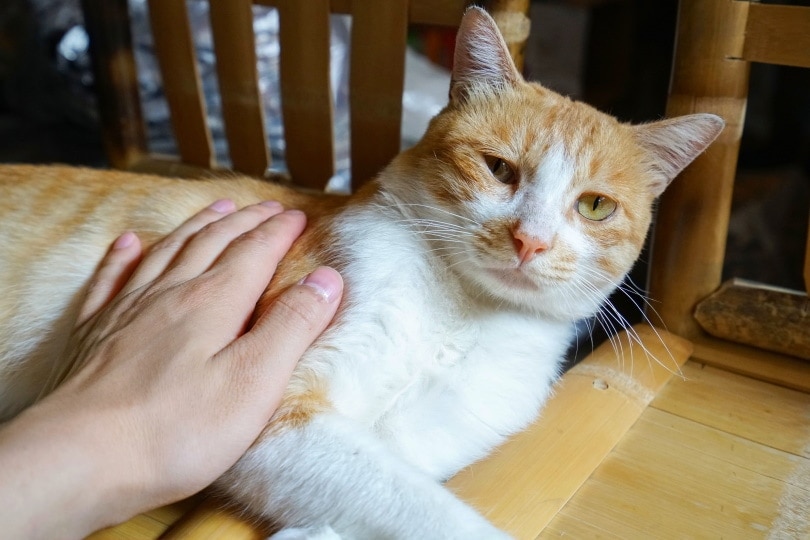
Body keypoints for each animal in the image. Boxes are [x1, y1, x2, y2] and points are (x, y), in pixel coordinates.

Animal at [0, 8, 720, 540]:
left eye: (595, 206)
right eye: (498, 169)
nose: (531, 240)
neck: (463, 314)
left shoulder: (418, 437)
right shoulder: (278, 418)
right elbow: (434, 516)